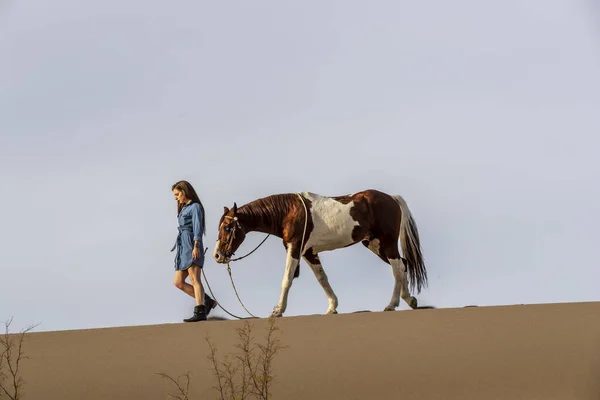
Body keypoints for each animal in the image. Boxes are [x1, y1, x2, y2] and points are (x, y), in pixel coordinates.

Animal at [213, 189, 428, 318]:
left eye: (227, 227)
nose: (217, 255)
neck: (288, 212)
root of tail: (392, 198)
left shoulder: (294, 248)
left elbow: (287, 279)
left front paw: (278, 310)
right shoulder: (309, 253)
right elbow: (322, 278)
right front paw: (332, 306)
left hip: (387, 242)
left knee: (398, 268)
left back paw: (392, 303)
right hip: (374, 244)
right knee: (403, 265)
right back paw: (408, 298)